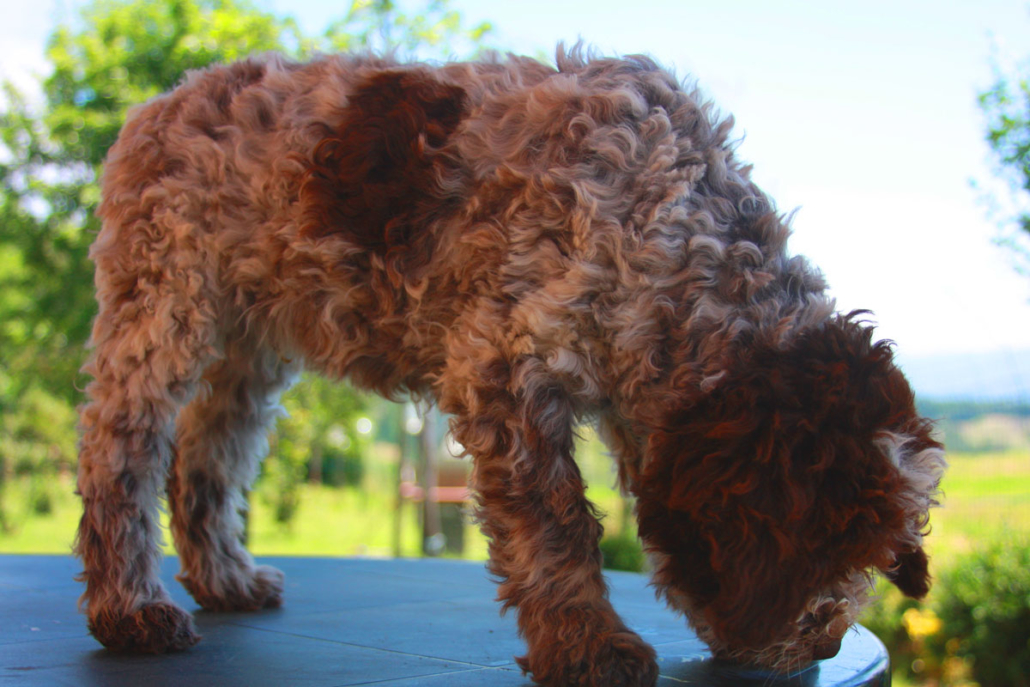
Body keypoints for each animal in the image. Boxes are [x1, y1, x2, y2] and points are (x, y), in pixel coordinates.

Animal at [70, 48, 943, 687]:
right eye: (824, 540)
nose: (825, 644)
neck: (674, 232)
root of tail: (164, 100)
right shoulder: (503, 366)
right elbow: (559, 523)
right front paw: (589, 644)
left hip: (250, 344)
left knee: (206, 457)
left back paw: (225, 578)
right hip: (164, 300)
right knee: (121, 451)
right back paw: (130, 609)